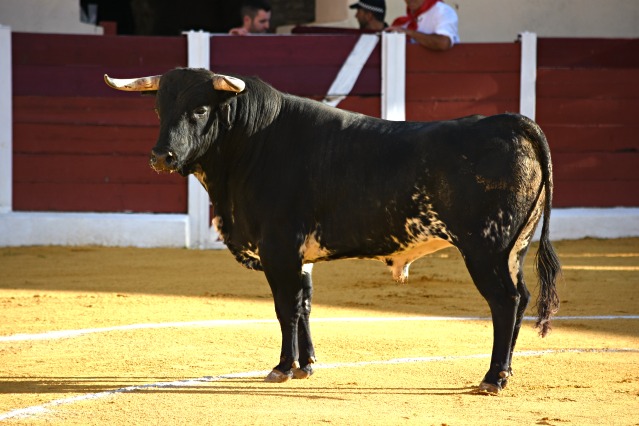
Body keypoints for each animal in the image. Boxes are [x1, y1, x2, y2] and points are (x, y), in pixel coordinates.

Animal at [105, 69, 560, 392]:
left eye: (200, 109)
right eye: (158, 109)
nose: (161, 156)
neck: (251, 142)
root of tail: (510, 122)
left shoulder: (278, 248)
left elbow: (285, 308)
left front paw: (282, 367)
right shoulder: (300, 256)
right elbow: (305, 304)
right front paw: (306, 365)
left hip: (486, 249)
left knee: (504, 302)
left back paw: (492, 378)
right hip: (514, 249)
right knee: (521, 299)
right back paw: (506, 373)